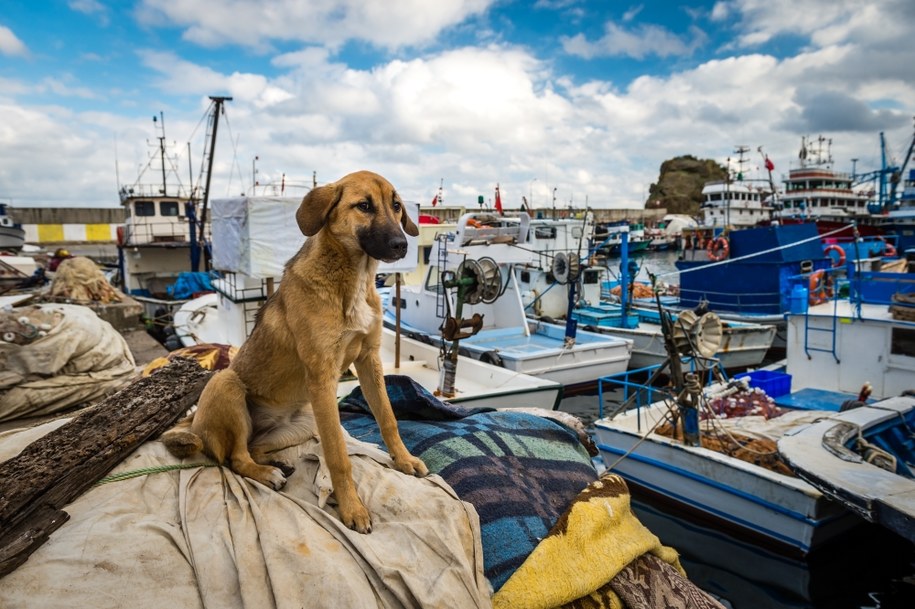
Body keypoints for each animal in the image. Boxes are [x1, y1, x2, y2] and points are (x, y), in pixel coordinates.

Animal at [160, 170, 426, 532]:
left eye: (396, 206)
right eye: (364, 206)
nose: (402, 245)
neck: (352, 279)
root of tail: (195, 424)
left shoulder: (369, 360)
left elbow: (388, 418)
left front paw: (404, 460)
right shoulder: (322, 378)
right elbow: (338, 455)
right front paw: (352, 508)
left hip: (307, 421)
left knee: (251, 447)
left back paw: (277, 464)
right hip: (225, 383)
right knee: (234, 458)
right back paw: (265, 473)